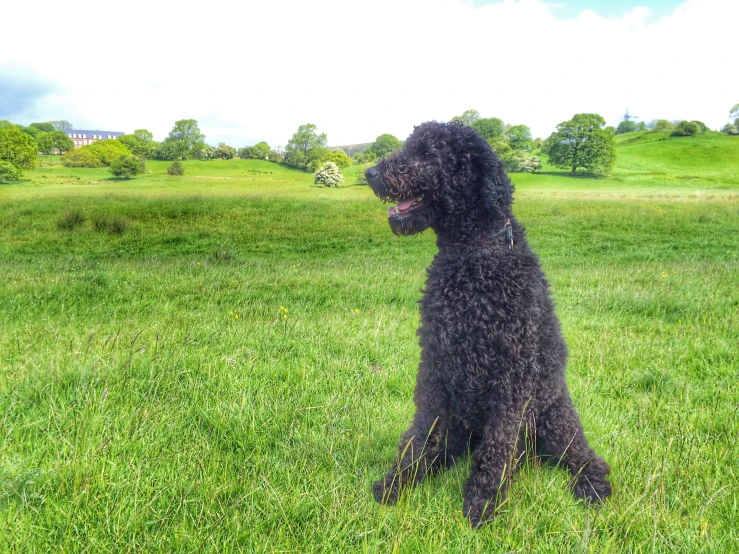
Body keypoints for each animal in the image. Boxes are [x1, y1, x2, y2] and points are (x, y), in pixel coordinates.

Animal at [366, 118, 612, 524]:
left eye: (428, 152)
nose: (370, 173)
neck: (472, 255)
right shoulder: (435, 362)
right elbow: (421, 430)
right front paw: (400, 479)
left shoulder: (510, 375)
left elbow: (497, 444)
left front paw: (483, 500)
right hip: (463, 423)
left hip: (555, 420)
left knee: (583, 457)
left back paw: (592, 484)